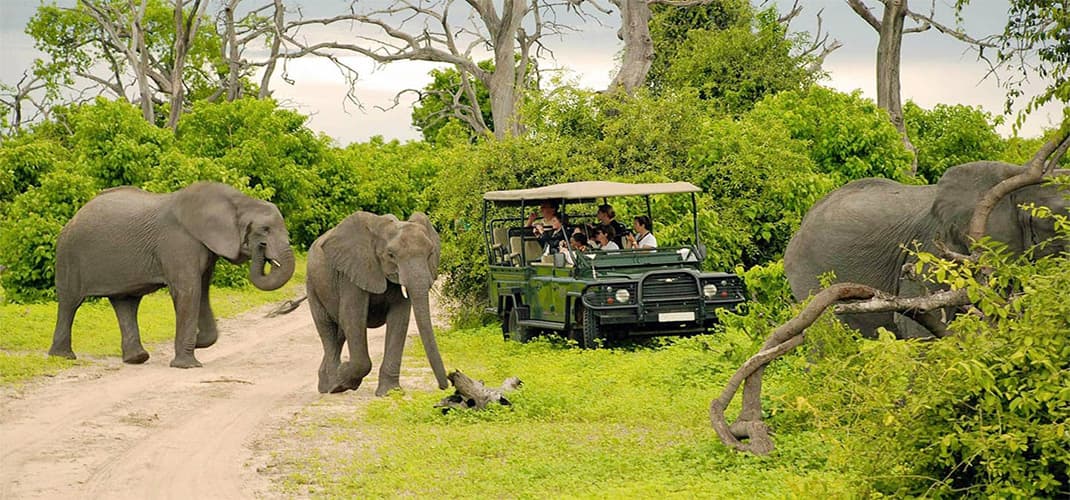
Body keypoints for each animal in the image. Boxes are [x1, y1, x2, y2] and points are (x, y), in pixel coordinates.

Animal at [48, 182, 296, 367]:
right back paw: (63, 357)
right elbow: (189, 291)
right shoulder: (178, 242)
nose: (261, 249)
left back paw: (137, 359)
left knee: (126, 303)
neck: (239, 200)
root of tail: (73, 217)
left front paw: (198, 341)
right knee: (70, 302)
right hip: (69, 255)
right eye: (264, 230)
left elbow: (202, 291)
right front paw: (188, 364)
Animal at [306, 211, 450, 396]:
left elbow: (400, 319)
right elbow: (353, 316)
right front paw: (344, 378)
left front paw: (390, 392)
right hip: (312, 285)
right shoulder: (352, 273)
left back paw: (327, 384)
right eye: (391, 255)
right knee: (327, 328)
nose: (444, 386)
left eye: (430, 253)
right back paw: (333, 386)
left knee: (340, 333)